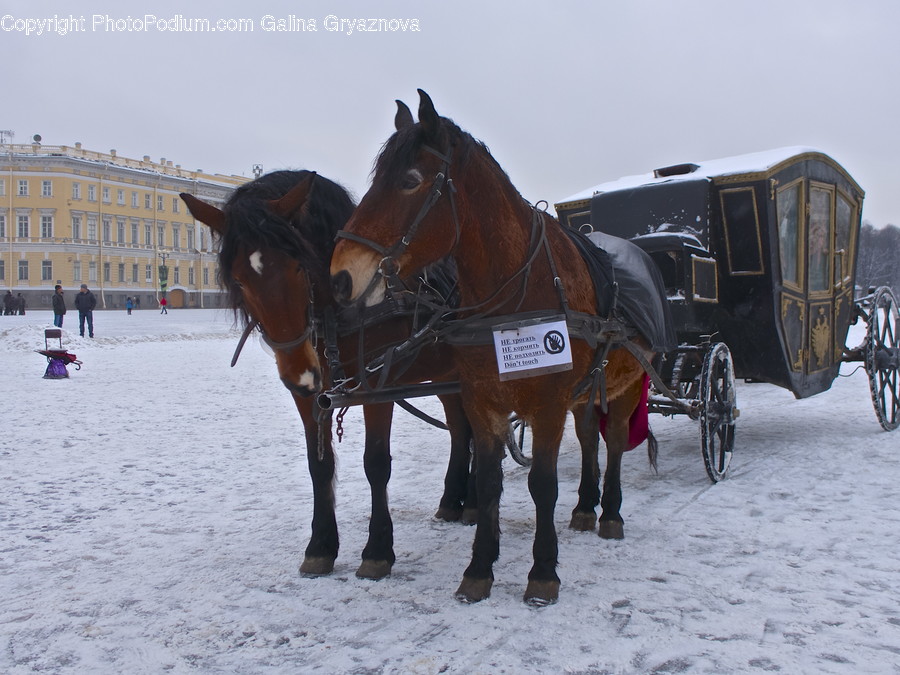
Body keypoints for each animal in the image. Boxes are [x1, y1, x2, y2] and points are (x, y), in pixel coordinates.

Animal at [180, 169, 476, 580]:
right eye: (238, 280)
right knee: (462, 429)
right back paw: (454, 500)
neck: (342, 310)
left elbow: (376, 464)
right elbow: (319, 466)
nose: (299, 371)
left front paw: (378, 550)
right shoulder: (310, 395)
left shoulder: (375, 387)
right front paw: (320, 546)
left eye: (298, 266)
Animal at [331, 90, 669, 605]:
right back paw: (586, 506)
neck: (515, 299)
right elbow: (489, 484)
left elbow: (542, 484)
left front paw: (543, 572)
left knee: (611, 441)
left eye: (409, 181)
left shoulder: (548, 403)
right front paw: (478, 568)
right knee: (590, 436)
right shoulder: (482, 400)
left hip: (628, 383)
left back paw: (610, 511)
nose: (342, 276)